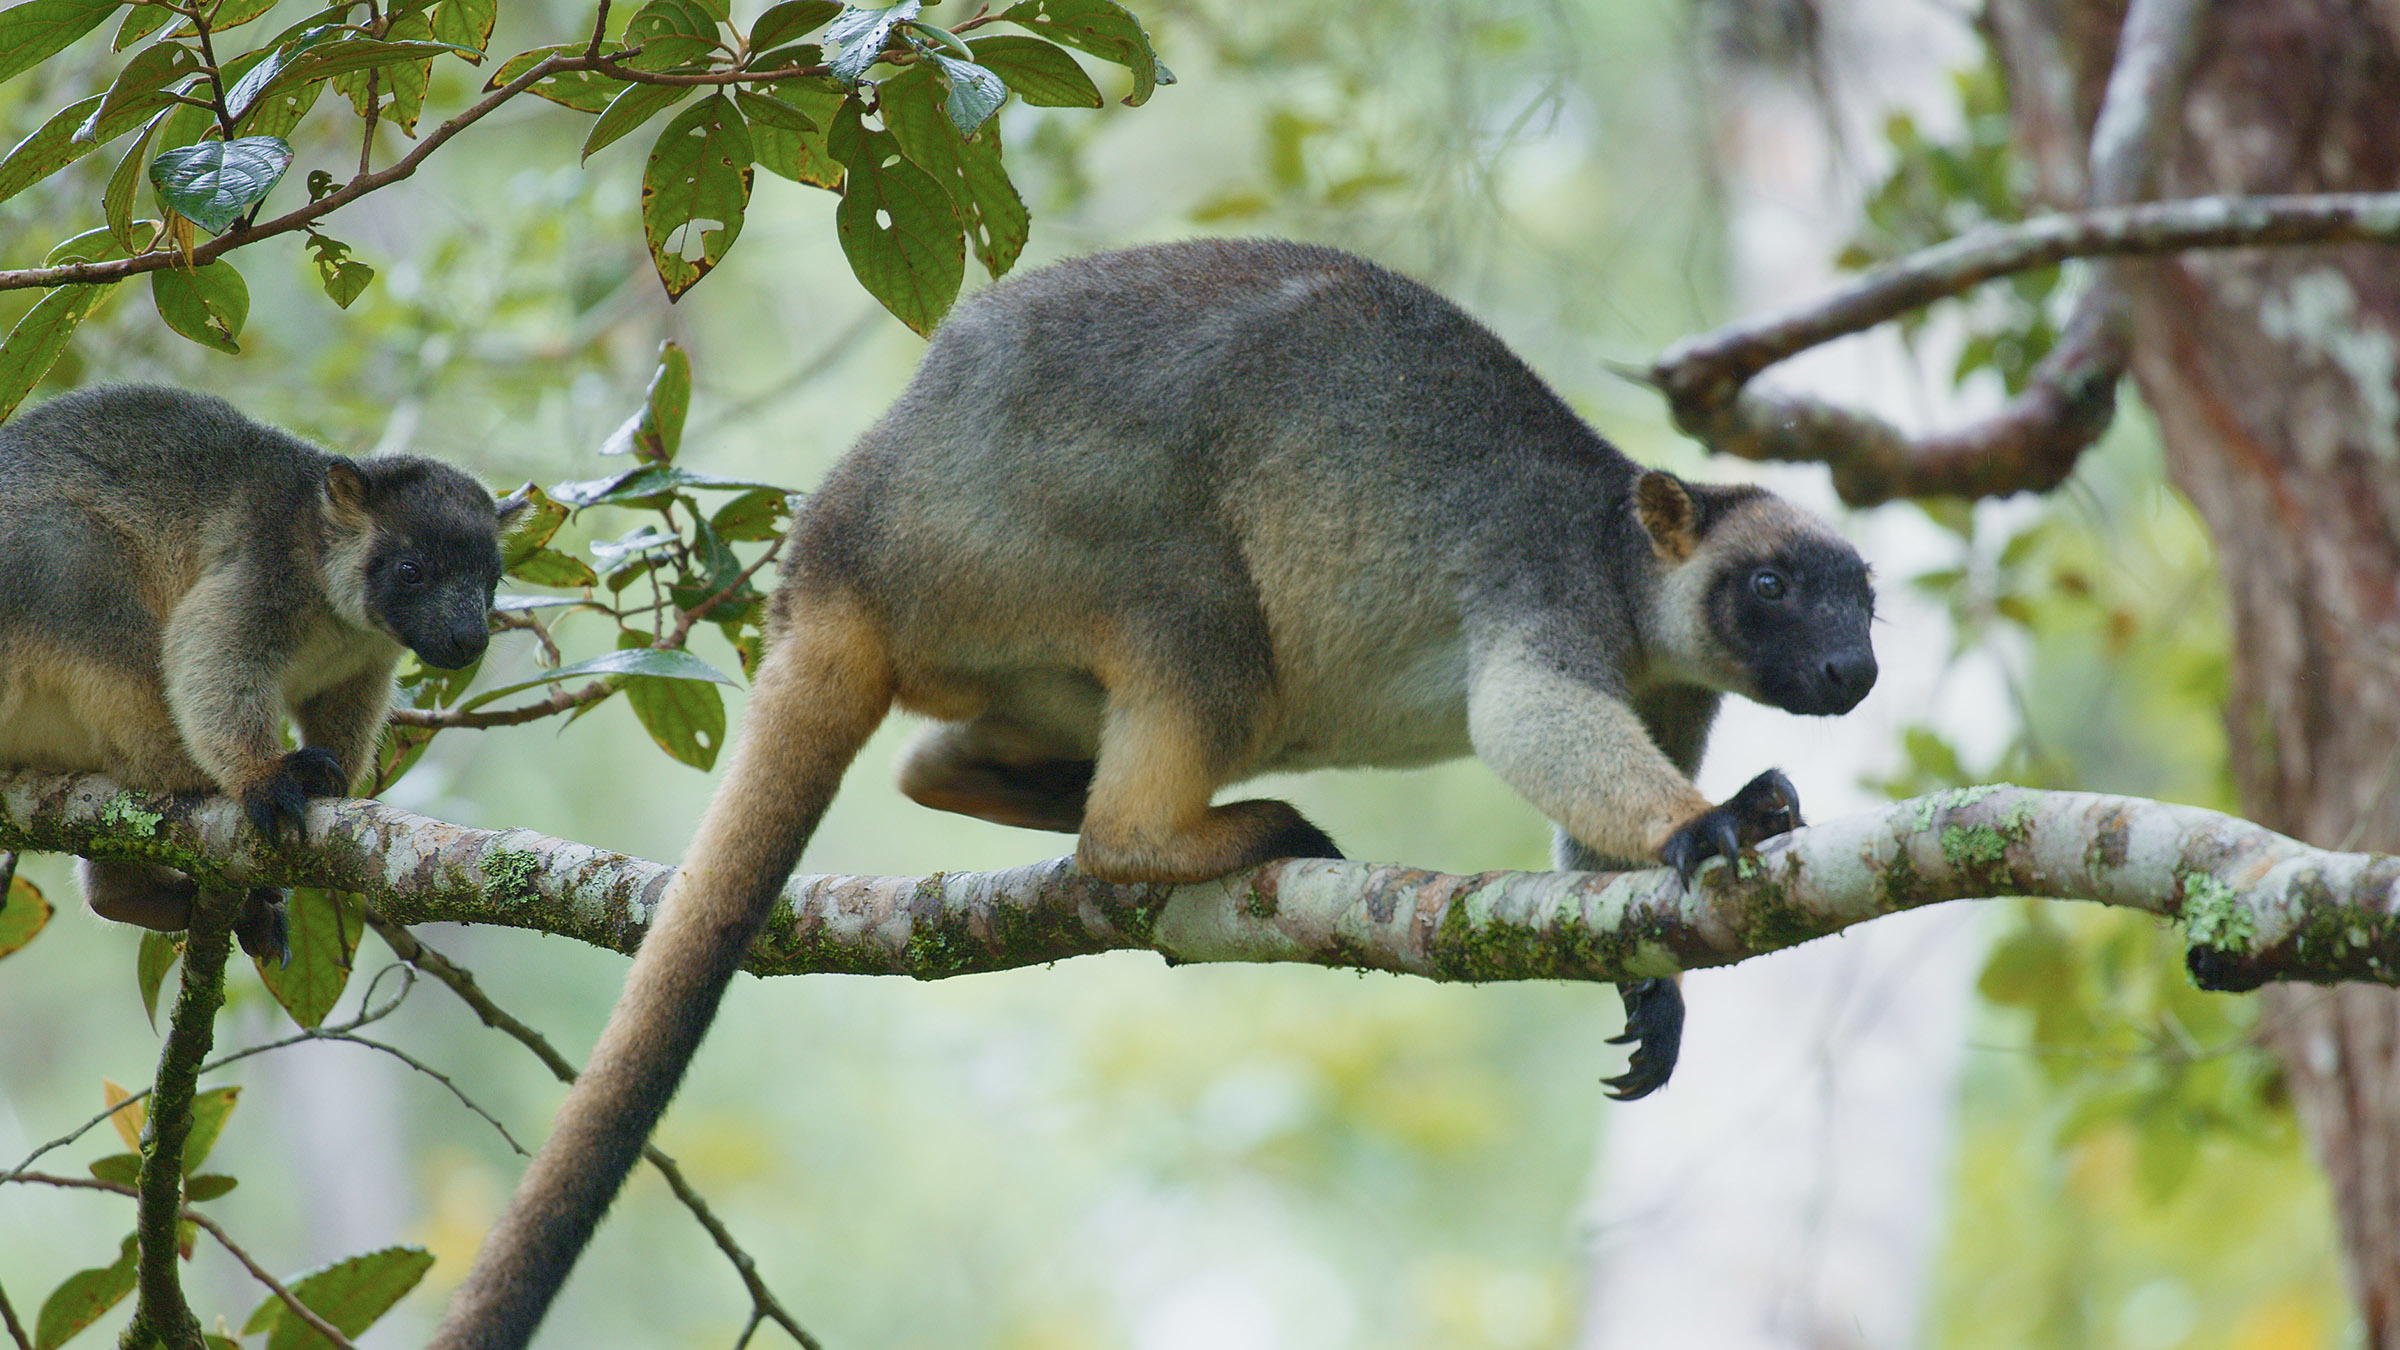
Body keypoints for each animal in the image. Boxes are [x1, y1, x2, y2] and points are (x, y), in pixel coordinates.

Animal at [0, 384, 522, 961]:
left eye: (492, 581)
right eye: (412, 571)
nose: (469, 639)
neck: (338, 619)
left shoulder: (361, 664)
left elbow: (341, 710)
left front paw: (336, 782)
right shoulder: (261, 573)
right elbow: (206, 649)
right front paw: (265, 778)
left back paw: (141, 897)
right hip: (54, 562)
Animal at [430, 239, 1877, 1350]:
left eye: (1862, 601)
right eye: (1771, 588)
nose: (1851, 670)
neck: (1632, 587)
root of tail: (839, 543)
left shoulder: (1671, 690)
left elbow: (1590, 850)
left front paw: (1651, 984)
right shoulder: (1544, 587)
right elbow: (1519, 714)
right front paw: (1703, 825)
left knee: (959, 749)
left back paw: (1010, 783)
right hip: (1023, 533)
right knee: (1199, 626)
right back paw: (1165, 834)